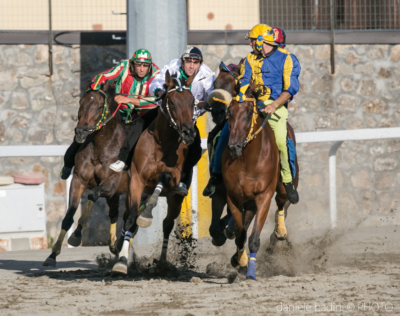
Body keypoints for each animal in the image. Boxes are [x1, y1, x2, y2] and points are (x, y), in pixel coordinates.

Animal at [43, 82, 129, 266]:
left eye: (99, 106)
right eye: (81, 103)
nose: (81, 132)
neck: (101, 147)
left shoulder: (111, 184)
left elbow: (92, 196)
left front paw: (76, 236)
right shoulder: (78, 181)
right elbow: (69, 216)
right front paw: (52, 254)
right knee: (114, 213)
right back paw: (114, 246)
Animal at [110, 70, 198, 272]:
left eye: (192, 101)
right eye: (172, 102)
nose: (189, 133)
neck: (161, 143)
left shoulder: (172, 178)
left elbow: (163, 178)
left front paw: (147, 215)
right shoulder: (136, 180)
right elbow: (130, 218)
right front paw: (121, 261)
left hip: (176, 199)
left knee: (167, 223)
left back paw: (163, 261)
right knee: (129, 215)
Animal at [223, 86, 298, 278]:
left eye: (250, 112)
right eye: (229, 112)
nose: (234, 147)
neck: (248, 160)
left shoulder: (263, 196)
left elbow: (254, 239)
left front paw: (250, 272)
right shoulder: (233, 197)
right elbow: (241, 234)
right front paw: (239, 261)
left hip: (283, 188)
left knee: (283, 203)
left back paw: (280, 232)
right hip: (248, 200)